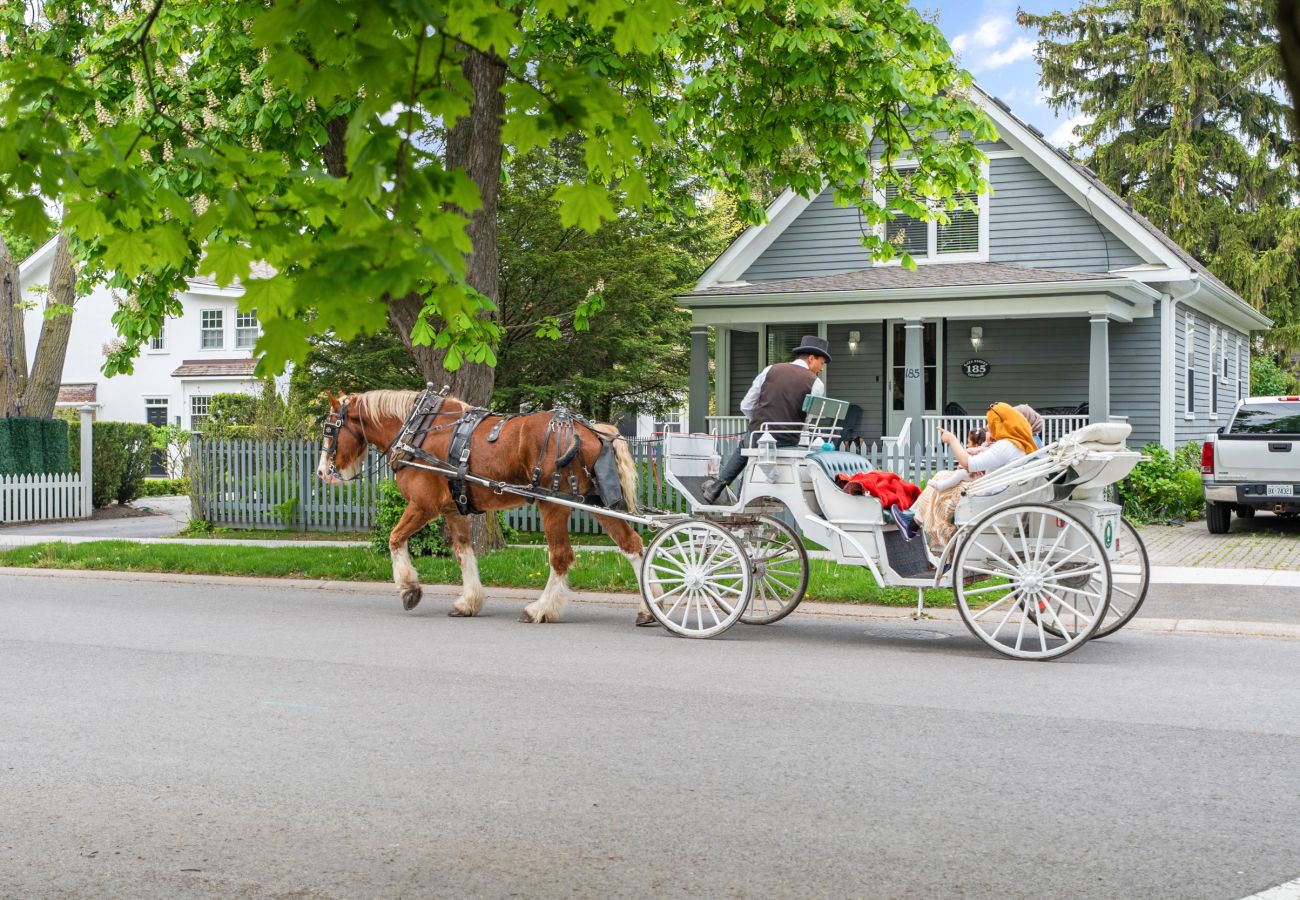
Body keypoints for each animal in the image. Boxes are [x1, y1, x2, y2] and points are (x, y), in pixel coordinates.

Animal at [314, 390, 660, 629]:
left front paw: (409, 589)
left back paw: (541, 609)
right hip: (597, 503)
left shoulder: (422, 505)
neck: (418, 431)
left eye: (330, 430)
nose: (321, 472)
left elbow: (395, 538)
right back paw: (648, 607)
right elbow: (463, 552)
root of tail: (592, 430)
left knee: (561, 557)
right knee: (632, 546)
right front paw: (469, 601)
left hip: (553, 505)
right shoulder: (452, 510)